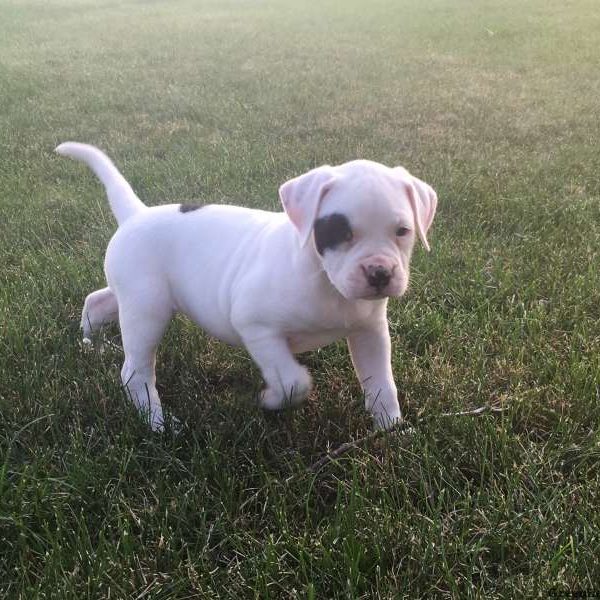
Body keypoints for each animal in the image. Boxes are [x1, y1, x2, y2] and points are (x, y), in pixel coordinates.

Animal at [57, 144, 436, 434]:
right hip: (147, 311)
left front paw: (391, 430)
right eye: (341, 231)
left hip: (137, 296)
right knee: (134, 371)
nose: (379, 273)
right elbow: (293, 380)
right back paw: (157, 423)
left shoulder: (369, 332)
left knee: (98, 300)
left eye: (402, 231)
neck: (324, 280)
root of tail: (137, 214)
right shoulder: (258, 328)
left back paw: (91, 342)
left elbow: (382, 383)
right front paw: (271, 399)